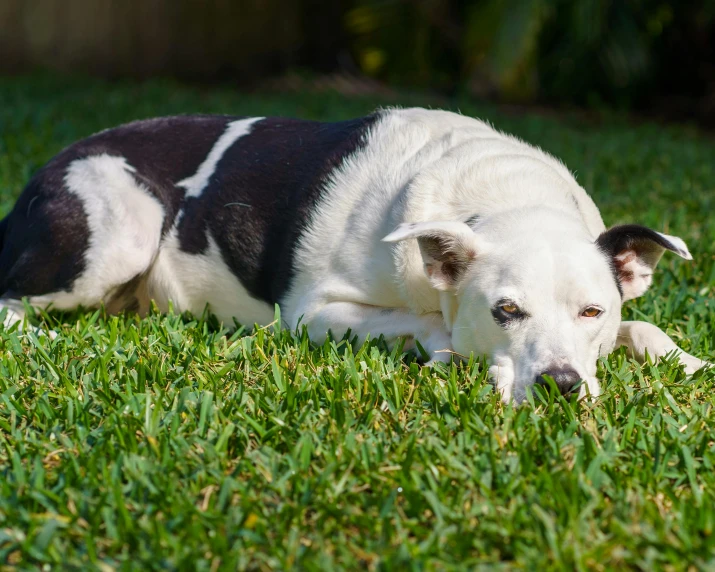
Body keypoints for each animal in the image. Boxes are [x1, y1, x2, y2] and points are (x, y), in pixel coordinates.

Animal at [0, 108, 712, 402]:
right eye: (506, 311)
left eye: (594, 312)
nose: (563, 387)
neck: (501, 195)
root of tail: (43, 171)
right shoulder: (313, 314)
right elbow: (428, 327)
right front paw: (447, 350)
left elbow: (644, 328)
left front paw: (689, 362)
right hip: (119, 224)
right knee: (12, 301)